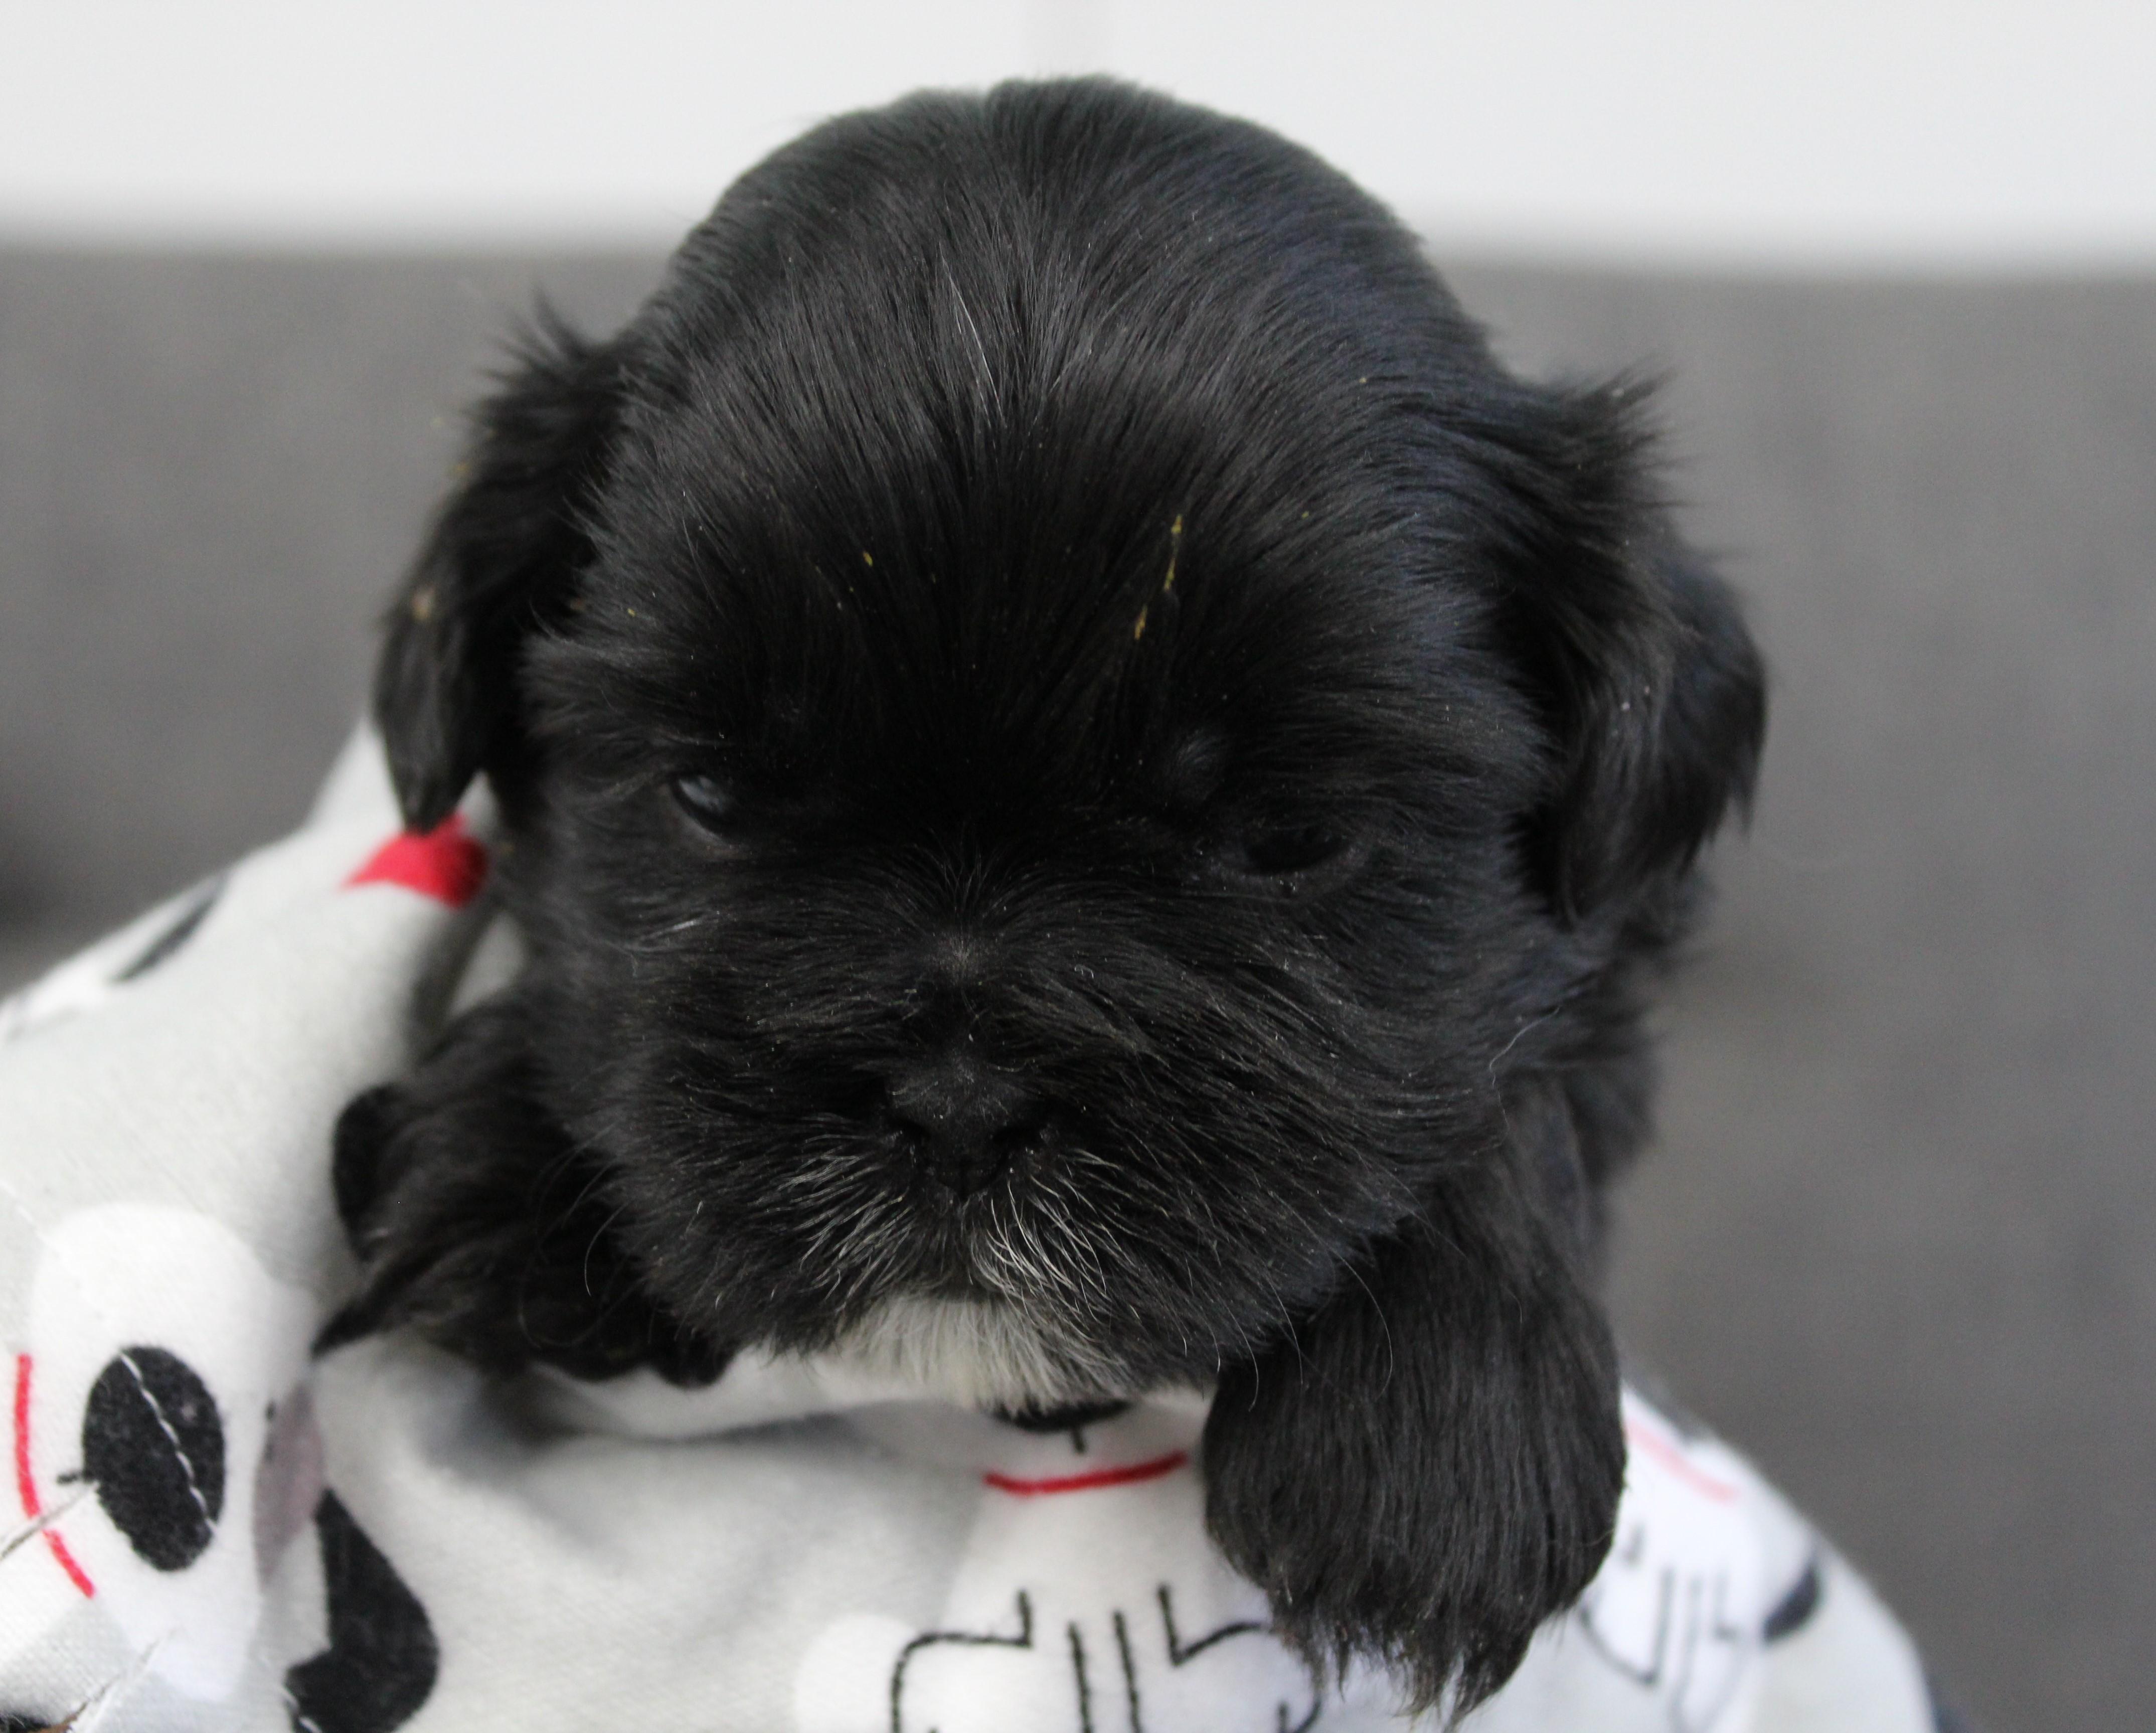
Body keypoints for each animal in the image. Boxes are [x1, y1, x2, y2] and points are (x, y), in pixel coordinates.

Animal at [323, 78, 1766, 1715]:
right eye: (712, 796)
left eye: (1283, 832)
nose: (958, 1098)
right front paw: (490, 1165)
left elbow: (1527, 1074)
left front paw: (1438, 1435)